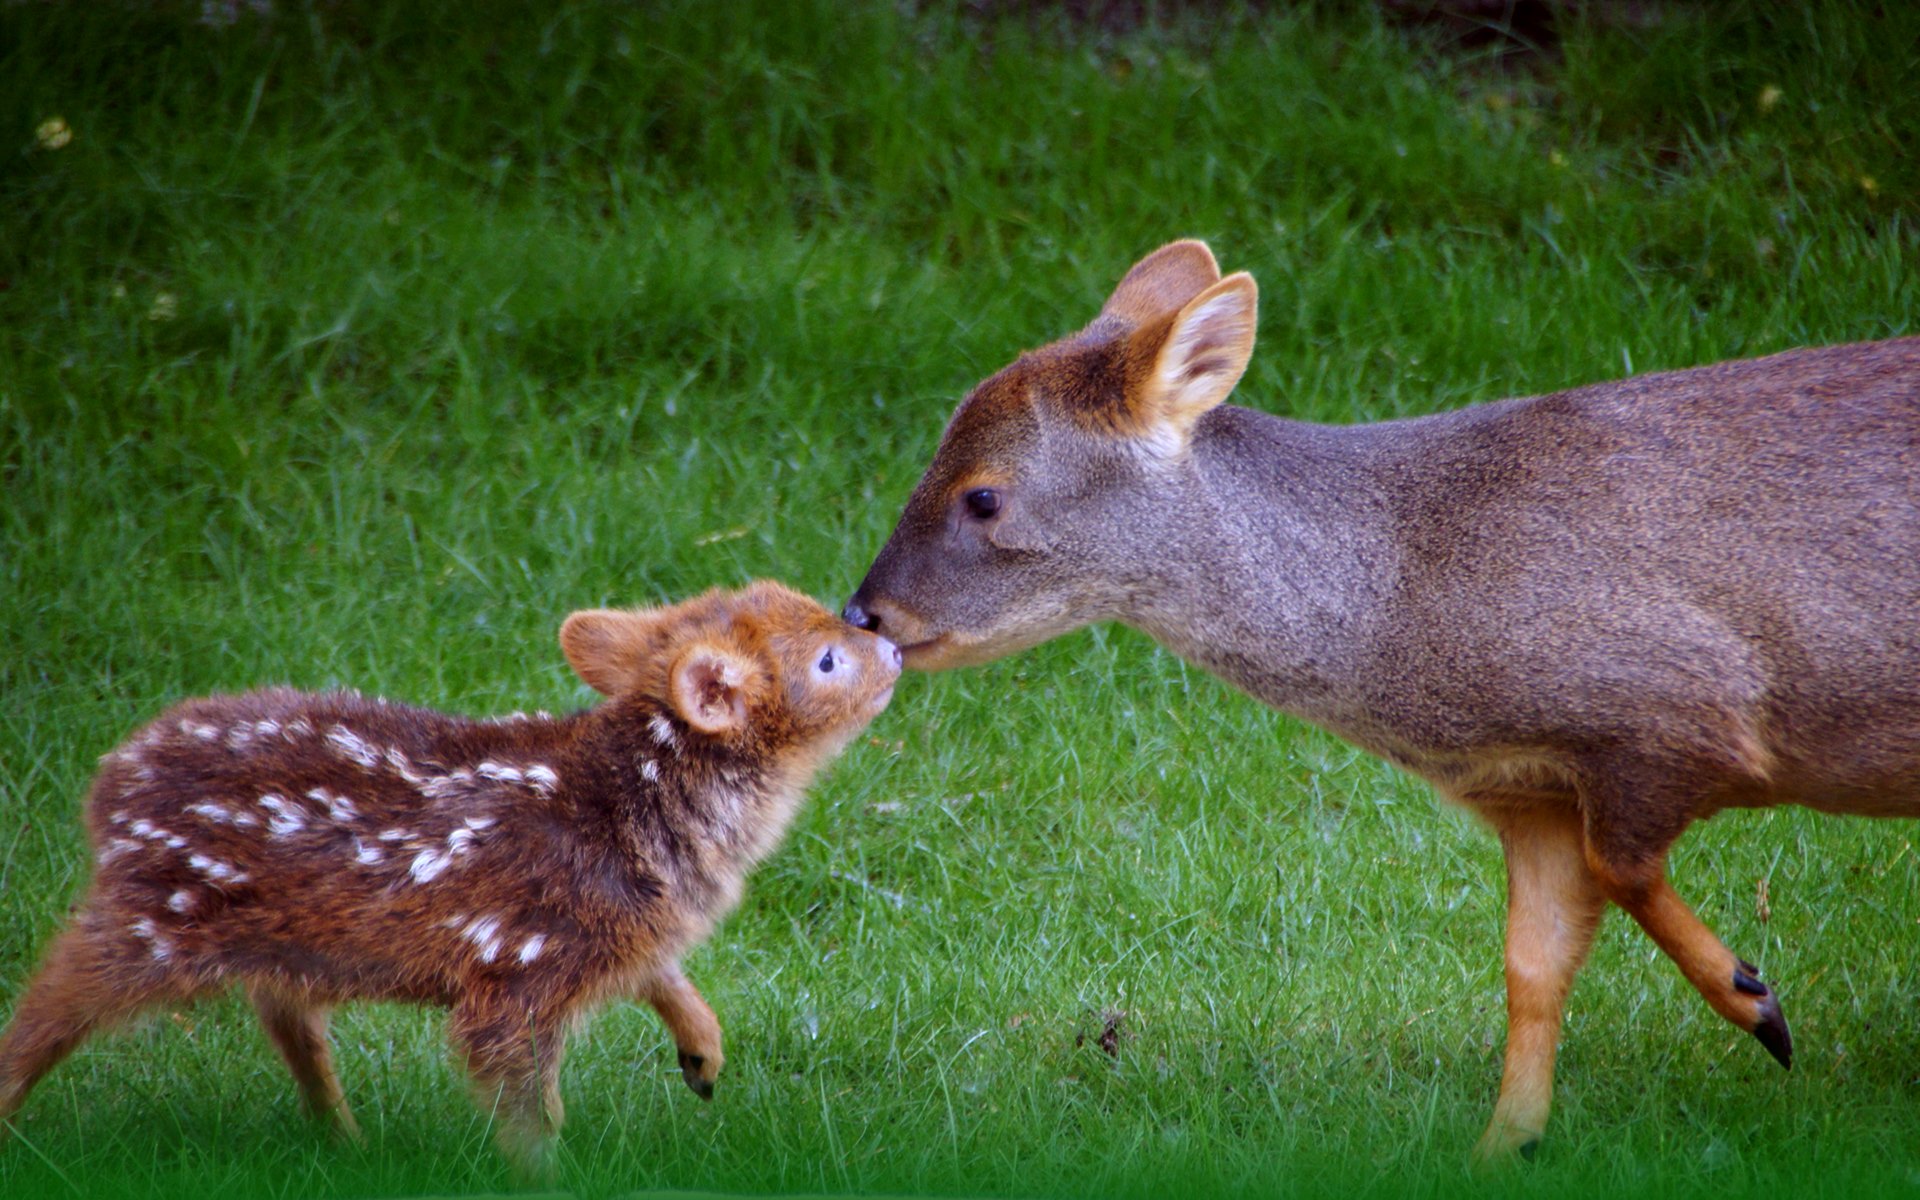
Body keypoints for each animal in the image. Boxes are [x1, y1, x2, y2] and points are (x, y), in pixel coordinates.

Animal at [0, 581, 902, 1174]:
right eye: (827, 660)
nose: (891, 643)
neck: (632, 813)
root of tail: (108, 786)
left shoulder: (617, 937)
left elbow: (664, 977)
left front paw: (704, 1056)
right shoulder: (515, 971)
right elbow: (529, 1109)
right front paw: (551, 1179)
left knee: (283, 1010)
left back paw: (344, 1138)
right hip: (149, 920)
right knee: (48, 1003)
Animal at [841, 238, 1920, 1161]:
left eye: (984, 496)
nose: (864, 612)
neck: (1405, 599)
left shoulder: (1674, 710)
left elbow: (1622, 868)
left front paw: (1758, 1004)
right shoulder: (1526, 793)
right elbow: (1532, 968)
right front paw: (1504, 1145)